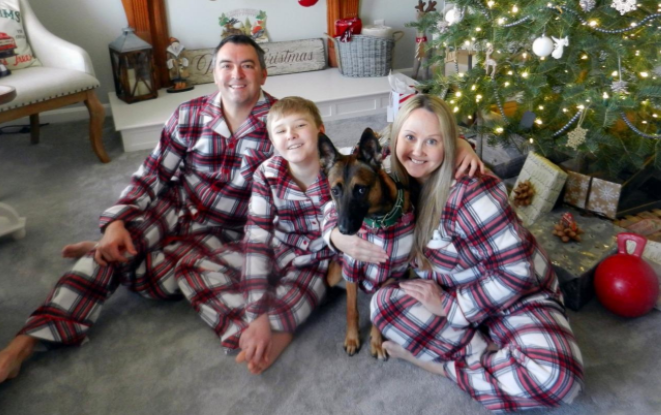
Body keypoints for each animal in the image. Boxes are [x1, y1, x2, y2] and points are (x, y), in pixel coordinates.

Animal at [318, 128, 412, 360]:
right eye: (335, 191)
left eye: (361, 190)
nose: (343, 230)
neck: (379, 220)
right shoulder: (352, 267)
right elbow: (352, 310)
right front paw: (352, 339)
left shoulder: (392, 271)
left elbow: (376, 309)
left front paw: (377, 342)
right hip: (335, 273)